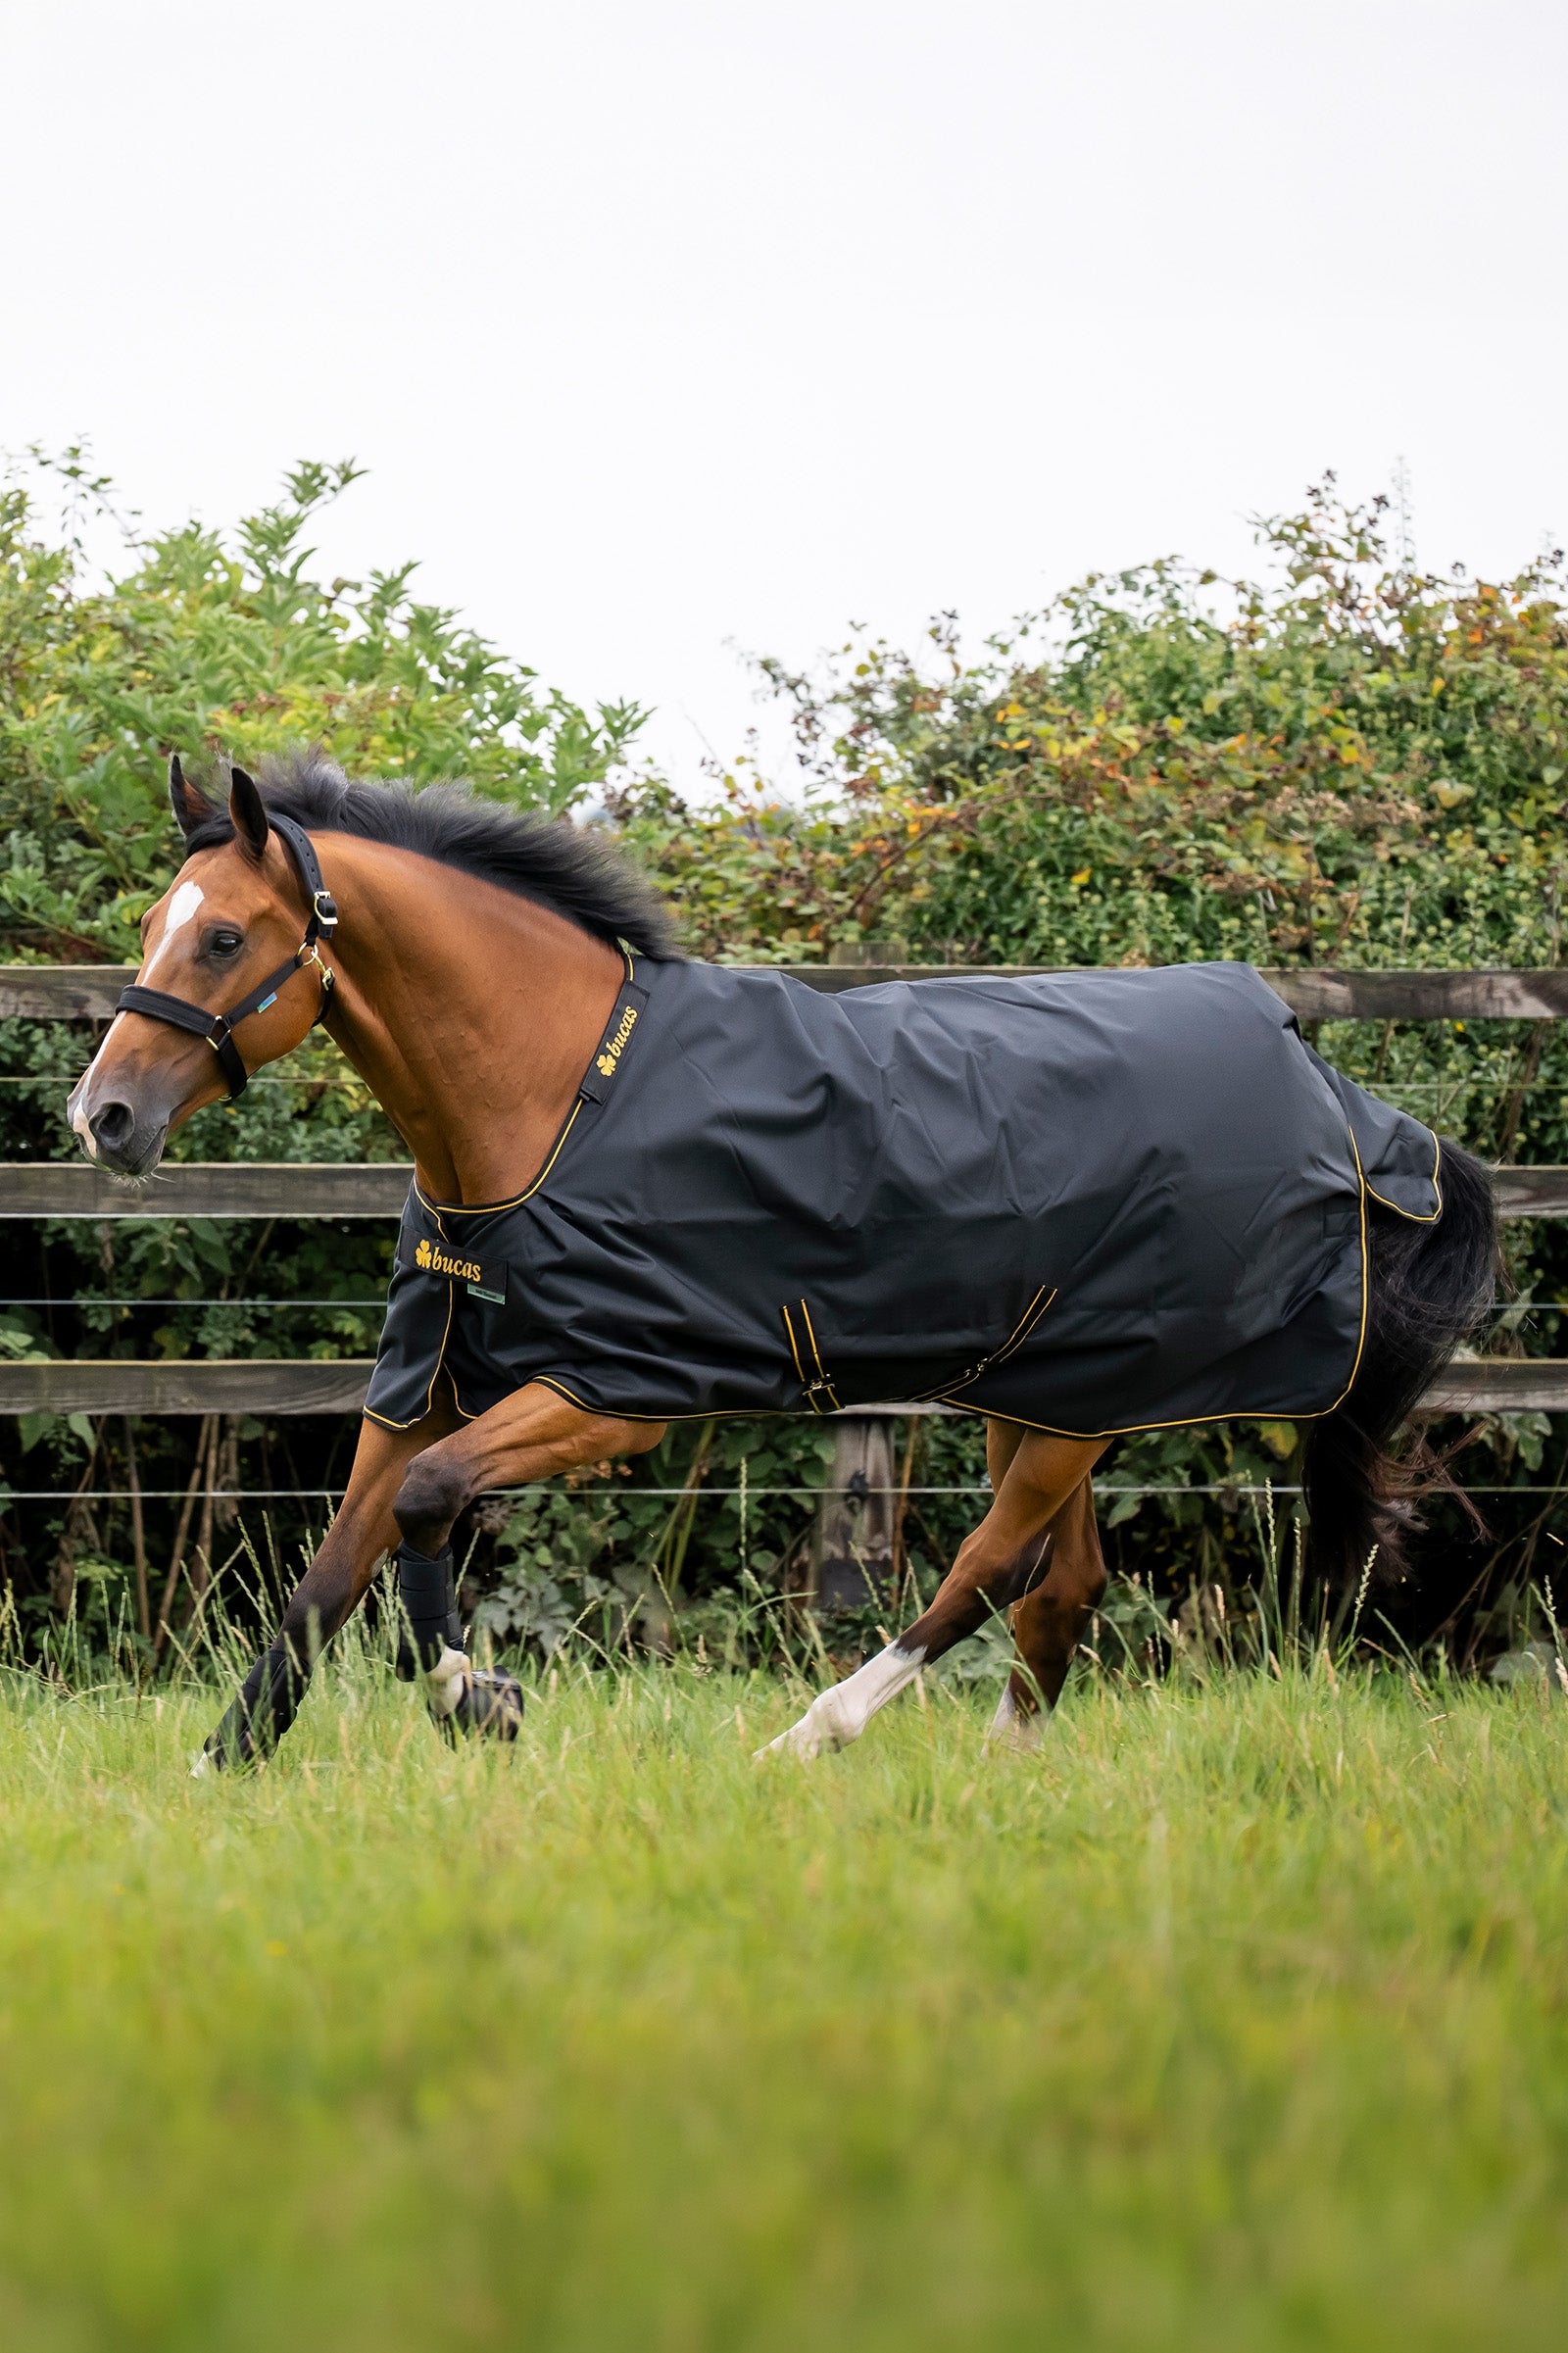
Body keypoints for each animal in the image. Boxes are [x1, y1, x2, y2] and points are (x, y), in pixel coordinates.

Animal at [66, 756, 1498, 1768]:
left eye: (223, 938)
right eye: (151, 924)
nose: (104, 1118)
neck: (555, 1097)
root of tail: (1329, 1085)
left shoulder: (611, 1395)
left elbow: (429, 1506)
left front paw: (484, 1700)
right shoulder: (422, 1387)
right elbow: (324, 1583)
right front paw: (220, 1770)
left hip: (1080, 1401)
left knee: (991, 1570)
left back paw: (815, 1733)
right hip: (1050, 1386)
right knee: (1061, 1585)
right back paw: (1000, 1768)